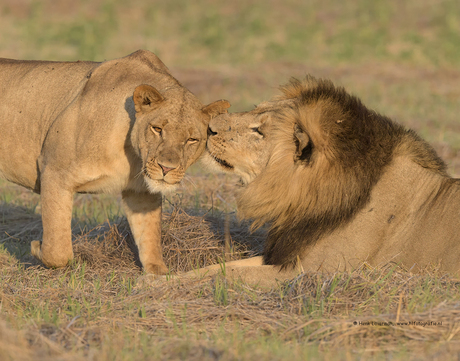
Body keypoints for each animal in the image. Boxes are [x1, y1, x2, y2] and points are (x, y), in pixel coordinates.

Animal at [0, 48, 230, 272]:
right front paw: (36, 247)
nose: (166, 168)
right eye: (157, 129)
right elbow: (58, 250)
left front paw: (159, 274)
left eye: (192, 139)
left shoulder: (142, 192)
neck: (132, 153)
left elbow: (149, 236)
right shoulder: (54, 172)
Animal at [179, 74, 460, 286]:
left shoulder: (317, 271)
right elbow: (218, 267)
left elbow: (230, 274)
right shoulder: (287, 255)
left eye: (258, 131)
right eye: (254, 110)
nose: (208, 129)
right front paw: (171, 278)